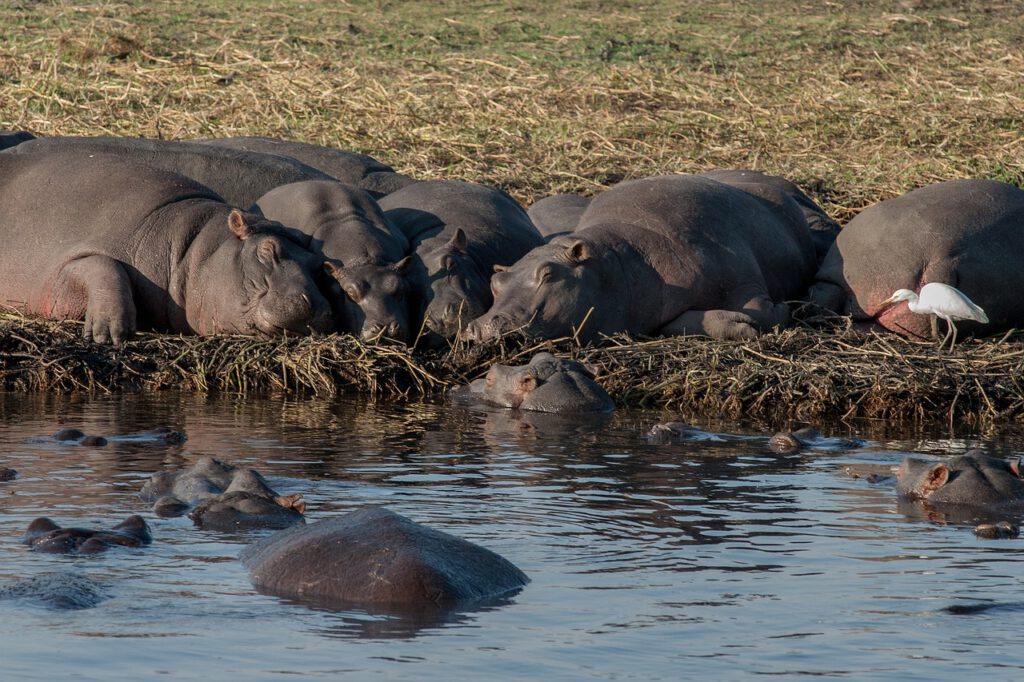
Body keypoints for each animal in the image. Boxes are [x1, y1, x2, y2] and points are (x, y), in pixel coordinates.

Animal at [0, 152, 333, 344]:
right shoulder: (64, 265)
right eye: (267, 249)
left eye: (319, 264)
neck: (190, 248)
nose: (316, 305)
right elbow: (104, 266)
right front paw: (110, 334)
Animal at [465, 173, 819, 343]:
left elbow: (763, 310)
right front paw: (741, 325)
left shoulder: (742, 279)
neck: (617, 262)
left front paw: (776, 312)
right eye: (496, 280)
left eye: (549, 273)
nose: (481, 325)